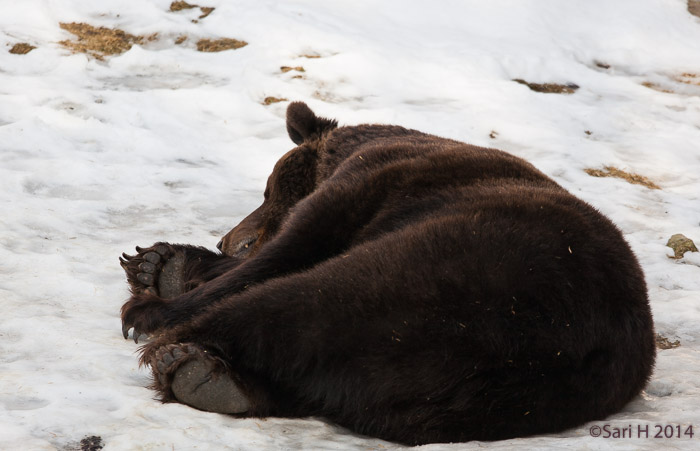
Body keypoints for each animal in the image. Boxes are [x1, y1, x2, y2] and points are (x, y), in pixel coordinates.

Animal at [120, 101, 656, 444]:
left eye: (267, 188)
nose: (227, 238)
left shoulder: (376, 182)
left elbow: (292, 246)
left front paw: (154, 297)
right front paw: (159, 263)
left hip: (455, 273)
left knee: (298, 303)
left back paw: (180, 352)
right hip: (459, 394)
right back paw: (208, 375)